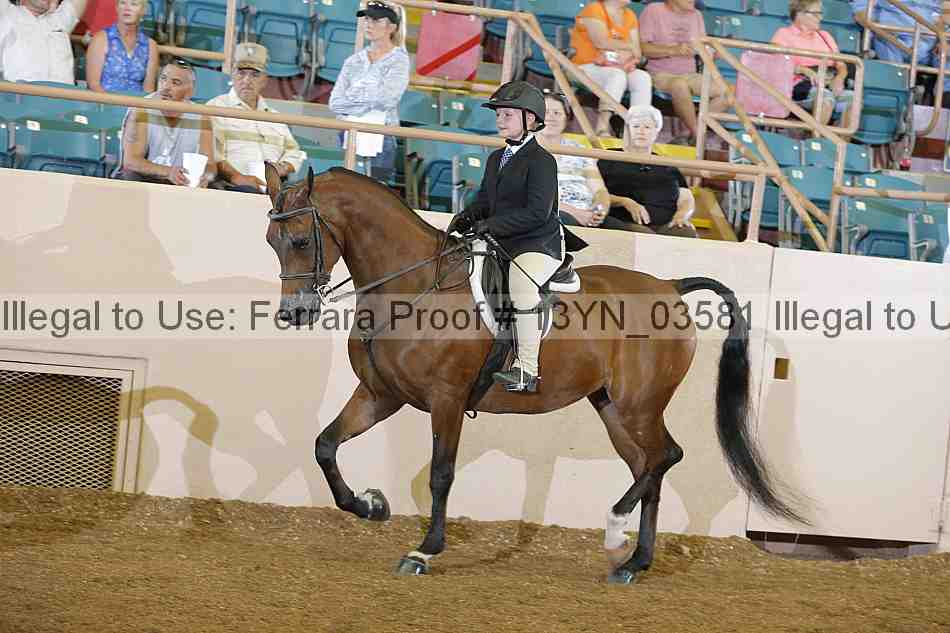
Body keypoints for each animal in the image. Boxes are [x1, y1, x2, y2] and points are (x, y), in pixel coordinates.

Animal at [263, 165, 805, 584]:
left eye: (300, 239)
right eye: (271, 241)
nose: (293, 313)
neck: (413, 286)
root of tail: (671, 287)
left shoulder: (447, 399)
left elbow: (441, 474)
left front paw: (424, 550)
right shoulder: (380, 394)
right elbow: (325, 446)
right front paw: (370, 505)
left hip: (639, 405)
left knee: (665, 456)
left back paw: (615, 528)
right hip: (613, 408)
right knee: (647, 466)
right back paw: (633, 562)